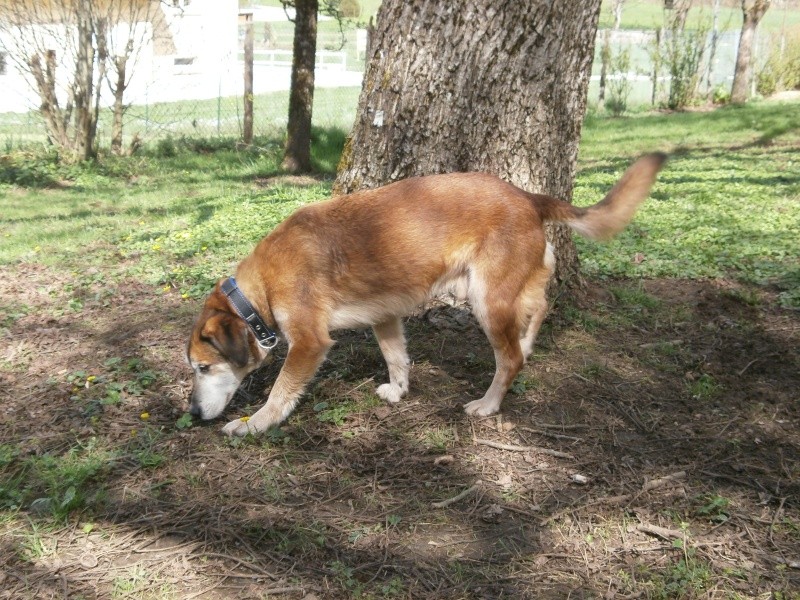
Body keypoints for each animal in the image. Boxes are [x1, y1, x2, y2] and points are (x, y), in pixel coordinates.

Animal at [186, 155, 664, 436]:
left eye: (203, 368)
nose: (191, 413)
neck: (257, 292)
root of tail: (528, 197)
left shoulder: (308, 343)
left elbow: (282, 389)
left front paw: (255, 423)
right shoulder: (384, 318)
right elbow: (396, 358)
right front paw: (398, 392)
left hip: (485, 300)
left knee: (509, 359)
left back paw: (489, 403)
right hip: (501, 290)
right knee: (539, 308)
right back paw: (528, 344)